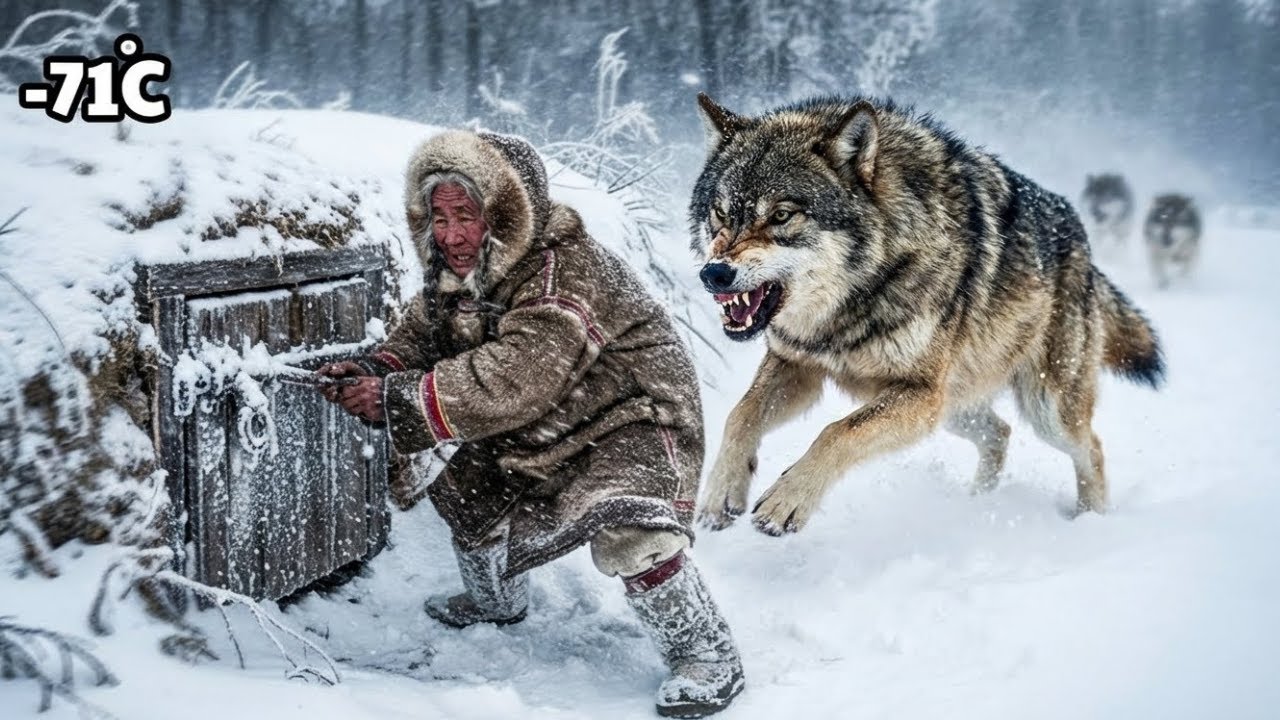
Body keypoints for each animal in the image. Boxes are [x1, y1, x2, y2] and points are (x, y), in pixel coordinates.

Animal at [688, 94, 1164, 536]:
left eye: (782, 215)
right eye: (721, 212)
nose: (713, 274)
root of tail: (1083, 241)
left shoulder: (919, 395)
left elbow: (837, 432)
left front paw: (786, 502)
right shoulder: (797, 364)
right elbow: (741, 415)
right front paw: (720, 494)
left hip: (1043, 409)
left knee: (1092, 448)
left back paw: (1091, 520)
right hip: (957, 407)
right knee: (1000, 434)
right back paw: (976, 503)